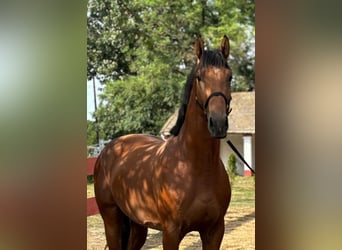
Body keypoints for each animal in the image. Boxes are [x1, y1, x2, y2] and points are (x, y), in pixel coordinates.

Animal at [93, 35, 232, 250]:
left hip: (137, 226)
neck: (194, 166)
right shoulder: (171, 233)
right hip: (112, 221)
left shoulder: (215, 231)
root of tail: (108, 149)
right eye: (199, 77)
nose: (217, 124)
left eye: (229, 77)